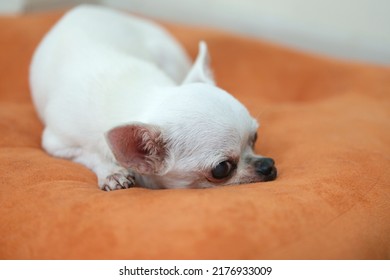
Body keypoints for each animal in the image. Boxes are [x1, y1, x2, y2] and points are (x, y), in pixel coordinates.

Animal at [29, 4, 278, 190]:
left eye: (255, 137)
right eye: (221, 169)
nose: (268, 165)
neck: (143, 97)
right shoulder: (57, 143)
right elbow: (89, 154)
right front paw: (112, 171)